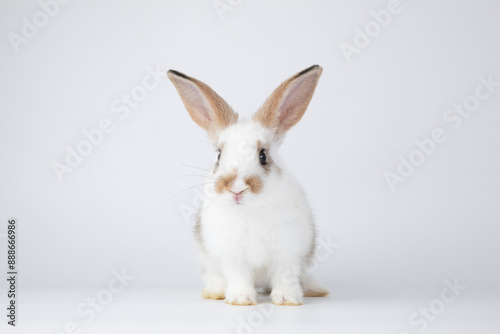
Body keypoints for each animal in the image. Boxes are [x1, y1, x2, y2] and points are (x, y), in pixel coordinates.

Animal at [167, 65, 328, 306]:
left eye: (263, 156)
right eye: (219, 156)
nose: (237, 188)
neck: (249, 209)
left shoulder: (288, 252)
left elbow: (285, 276)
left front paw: (287, 299)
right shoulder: (232, 255)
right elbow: (238, 276)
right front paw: (241, 300)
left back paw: (315, 288)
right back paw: (215, 292)